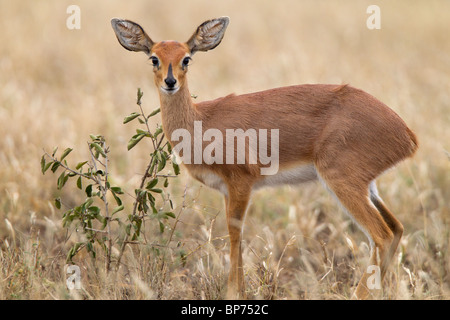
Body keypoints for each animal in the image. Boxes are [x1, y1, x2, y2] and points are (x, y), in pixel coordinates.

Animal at [111, 16, 418, 298]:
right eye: (154, 58)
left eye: (186, 58)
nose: (170, 81)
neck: (201, 121)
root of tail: (407, 134)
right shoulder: (227, 190)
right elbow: (236, 235)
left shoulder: (241, 182)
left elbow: (235, 233)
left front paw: (233, 293)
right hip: (366, 186)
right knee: (397, 229)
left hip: (341, 181)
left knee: (382, 234)